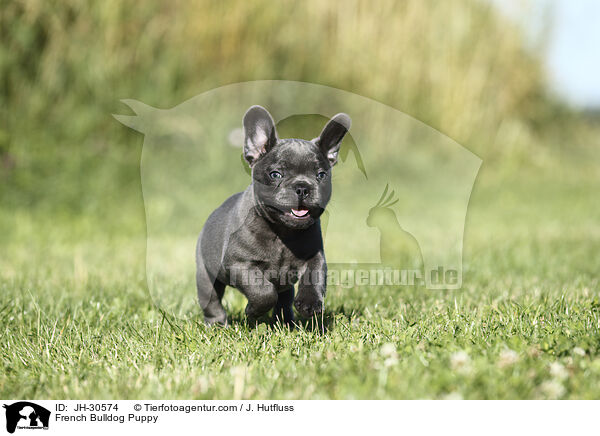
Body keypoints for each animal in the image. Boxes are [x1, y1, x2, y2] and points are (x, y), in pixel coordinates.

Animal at [196, 104, 352, 324]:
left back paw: (286, 322)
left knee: (284, 299)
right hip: (206, 274)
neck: (283, 231)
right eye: (276, 174)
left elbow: (313, 278)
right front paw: (253, 311)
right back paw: (217, 323)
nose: (303, 187)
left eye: (321, 175)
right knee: (211, 300)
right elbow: (263, 292)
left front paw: (310, 304)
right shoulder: (240, 264)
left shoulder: (315, 257)